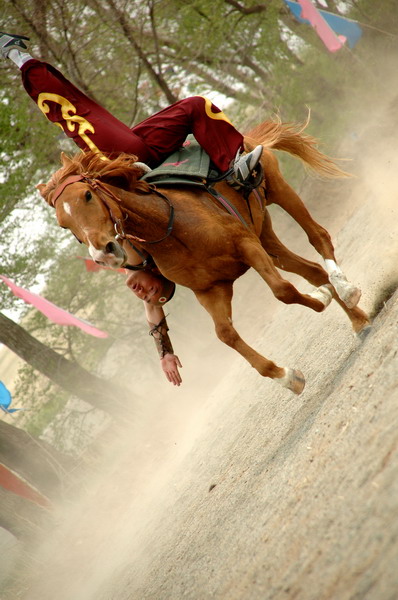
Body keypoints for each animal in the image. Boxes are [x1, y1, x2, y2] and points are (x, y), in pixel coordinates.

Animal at [37, 120, 370, 394]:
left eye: (87, 196)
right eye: (63, 224)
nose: (103, 254)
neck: (170, 227)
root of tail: (247, 139)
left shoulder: (246, 246)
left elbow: (283, 291)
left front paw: (323, 297)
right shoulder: (210, 290)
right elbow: (225, 334)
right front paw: (287, 376)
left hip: (280, 191)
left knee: (319, 238)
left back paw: (345, 289)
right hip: (266, 236)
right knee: (311, 269)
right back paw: (357, 320)